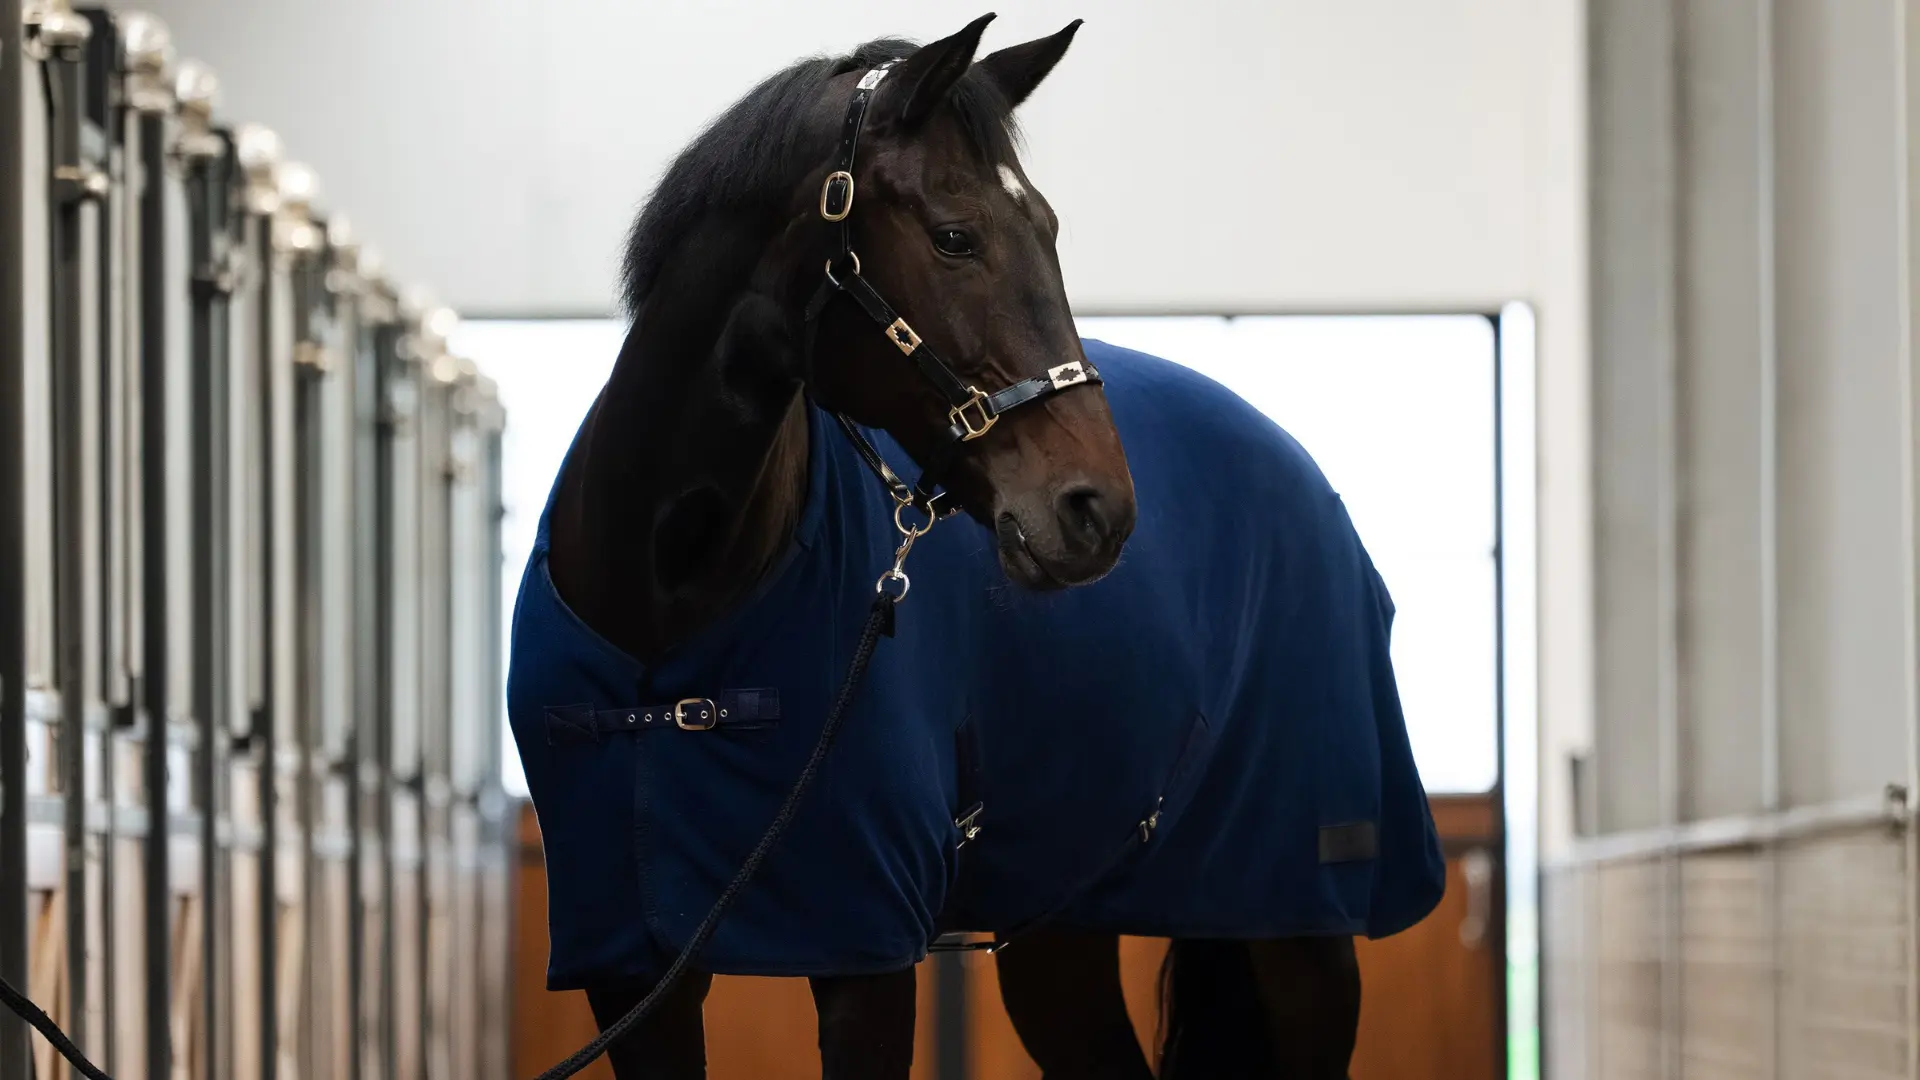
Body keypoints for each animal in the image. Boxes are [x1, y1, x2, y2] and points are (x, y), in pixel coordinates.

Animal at [507, 14, 1446, 1080]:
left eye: (1050, 230)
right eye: (956, 237)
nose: (1096, 509)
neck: (672, 591)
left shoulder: (863, 952)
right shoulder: (633, 974)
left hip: (1298, 924)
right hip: (1060, 931)